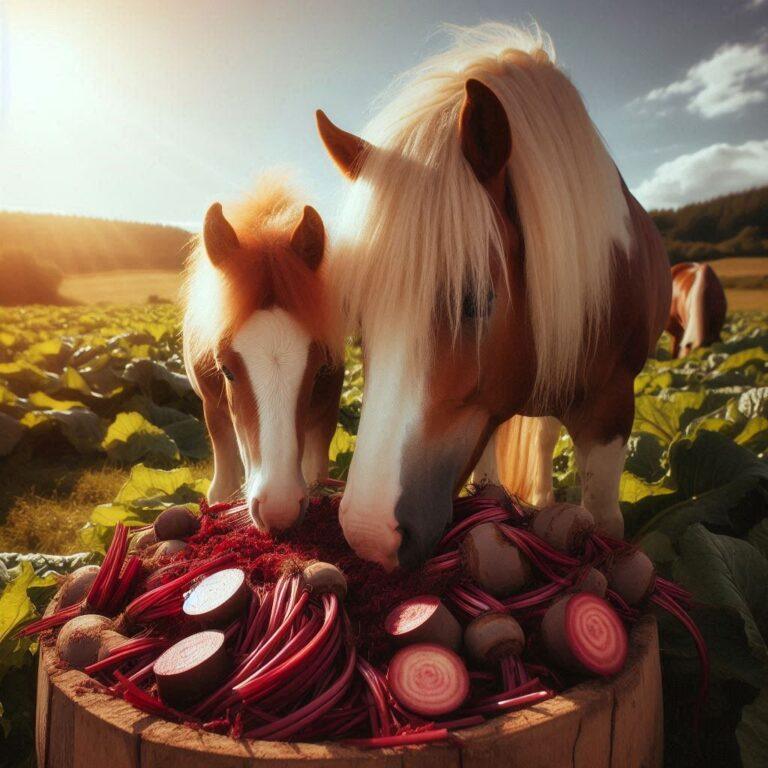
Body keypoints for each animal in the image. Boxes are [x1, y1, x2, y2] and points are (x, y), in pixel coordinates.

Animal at [182, 176, 342, 532]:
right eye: (225, 370)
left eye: (319, 369)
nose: (278, 510)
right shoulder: (213, 410)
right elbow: (221, 488)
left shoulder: (326, 413)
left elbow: (317, 477)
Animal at [318, 22, 672, 568]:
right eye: (358, 318)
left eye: (477, 301)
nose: (370, 534)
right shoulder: (486, 414)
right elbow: (488, 487)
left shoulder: (611, 408)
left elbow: (607, 523)